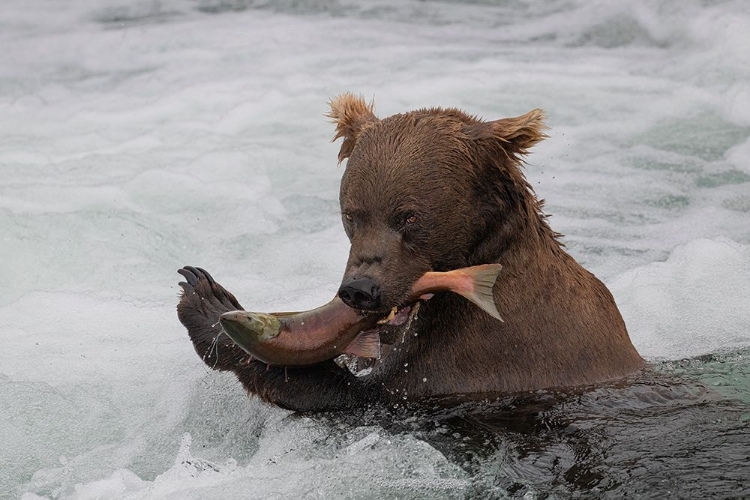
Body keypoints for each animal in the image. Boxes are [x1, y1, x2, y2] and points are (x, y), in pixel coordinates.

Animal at [175, 93, 640, 410]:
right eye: (352, 213)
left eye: (409, 217)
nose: (361, 289)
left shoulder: (483, 353)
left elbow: (353, 394)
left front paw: (205, 300)